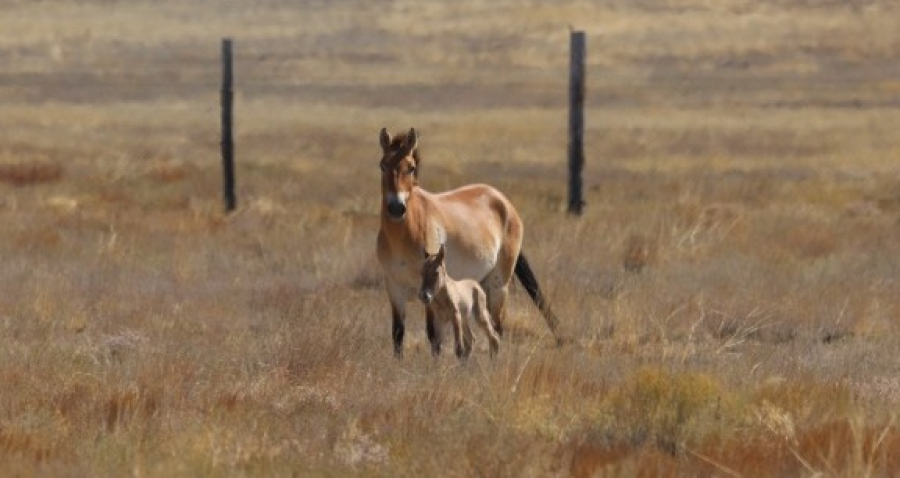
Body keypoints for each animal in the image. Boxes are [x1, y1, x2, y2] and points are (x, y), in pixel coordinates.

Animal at [375, 127, 560, 357]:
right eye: (383, 165)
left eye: (411, 168)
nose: (396, 208)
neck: (404, 234)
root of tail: (504, 202)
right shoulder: (394, 289)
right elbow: (398, 334)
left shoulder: (428, 289)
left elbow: (433, 336)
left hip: (498, 285)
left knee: (496, 328)